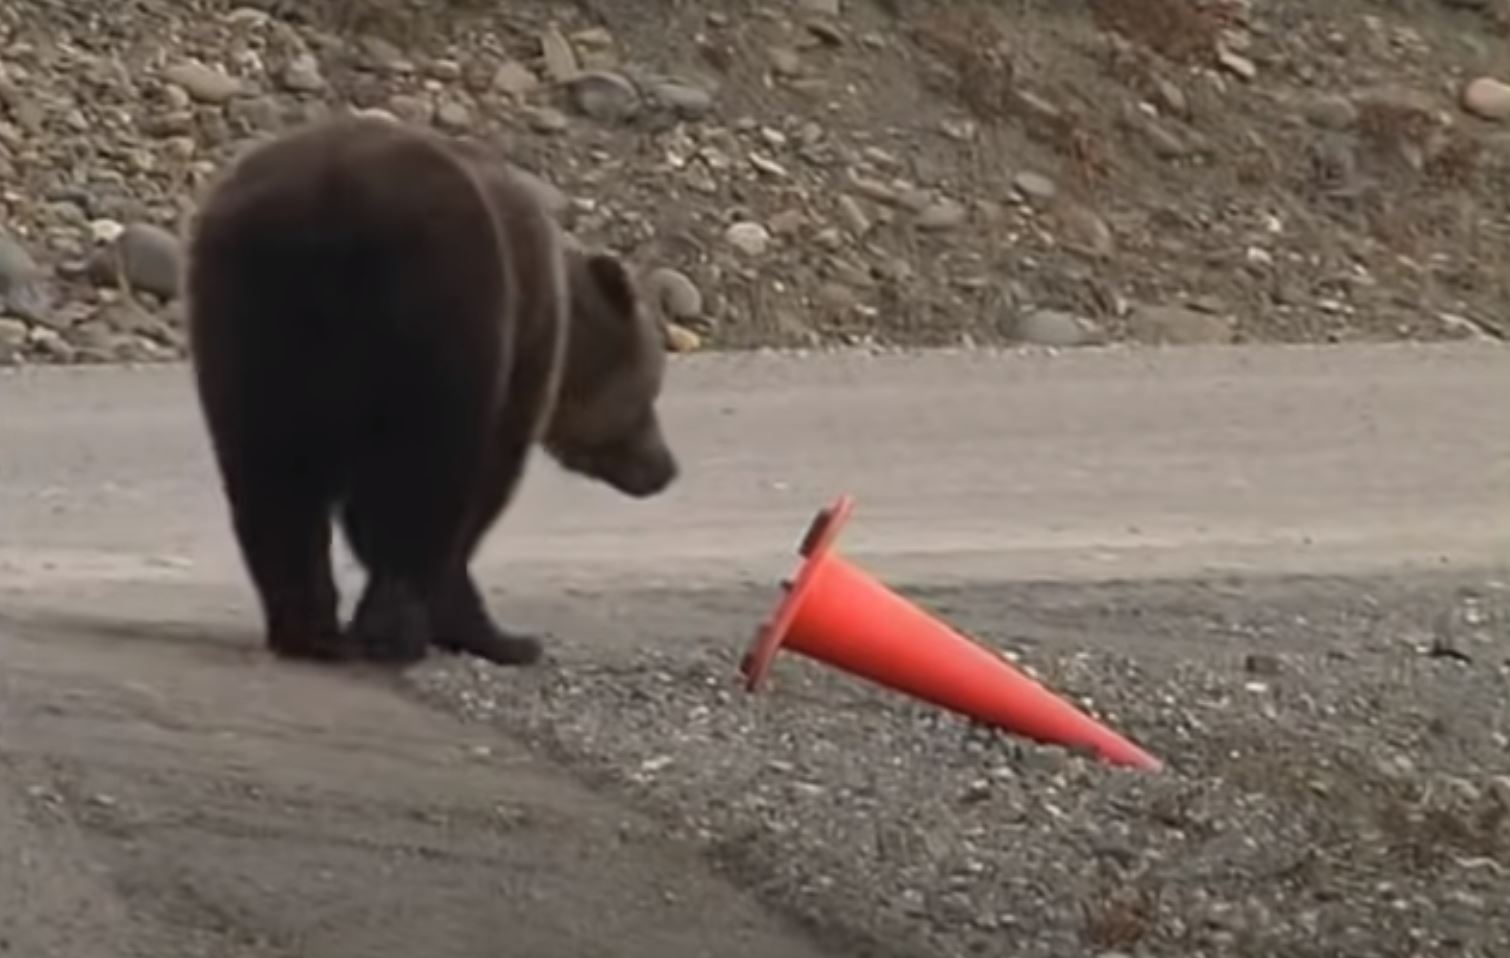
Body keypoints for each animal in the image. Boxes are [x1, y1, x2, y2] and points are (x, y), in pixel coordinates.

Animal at [183, 113, 679, 668]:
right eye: (651, 391)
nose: (665, 468)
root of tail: (325, 206)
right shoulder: (517, 347)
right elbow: (481, 478)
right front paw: (499, 634)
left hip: (248, 309)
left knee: (272, 470)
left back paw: (311, 631)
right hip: (436, 298)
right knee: (421, 473)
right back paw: (395, 634)